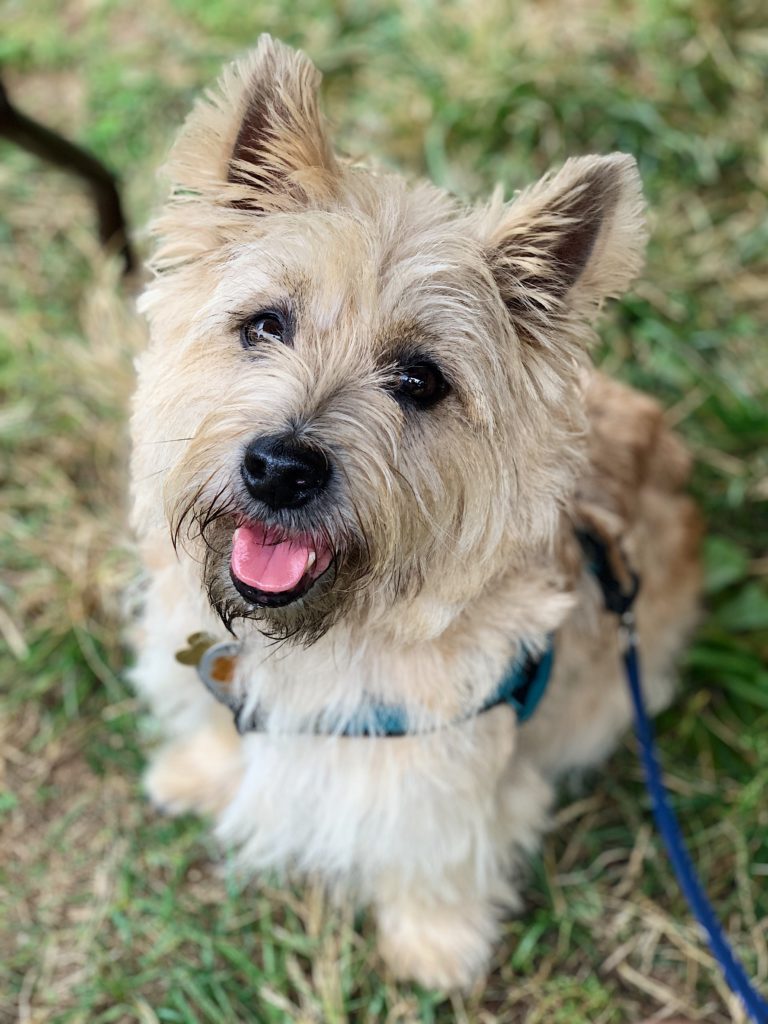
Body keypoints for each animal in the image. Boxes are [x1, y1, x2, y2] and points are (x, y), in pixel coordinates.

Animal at [129, 34, 700, 991]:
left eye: (421, 379)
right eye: (265, 324)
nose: (281, 468)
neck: (324, 642)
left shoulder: (440, 778)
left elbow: (438, 854)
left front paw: (437, 948)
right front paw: (196, 773)